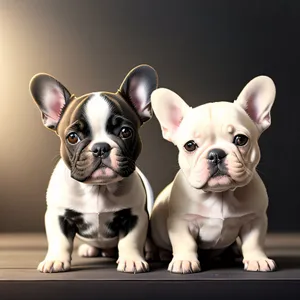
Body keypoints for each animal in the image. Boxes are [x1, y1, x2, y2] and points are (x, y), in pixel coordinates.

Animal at [29, 64, 158, 274]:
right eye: (72, 137)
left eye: (125, 132)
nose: (100, 148)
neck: (99, 188)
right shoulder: (58, 215)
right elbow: (60, 240)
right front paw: (55, 260)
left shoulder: (135, 215)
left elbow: (130, 240)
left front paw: (132, 260)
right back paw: (89, 249)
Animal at [150, 75, 276, 274]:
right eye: (190, 145)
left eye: (241, 139)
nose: (216, 154)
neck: (221, 194)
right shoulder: (181, 222)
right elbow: (185, 242)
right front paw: (184, 261)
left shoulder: (255, 220)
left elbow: (254, 242)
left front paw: (257, 260)